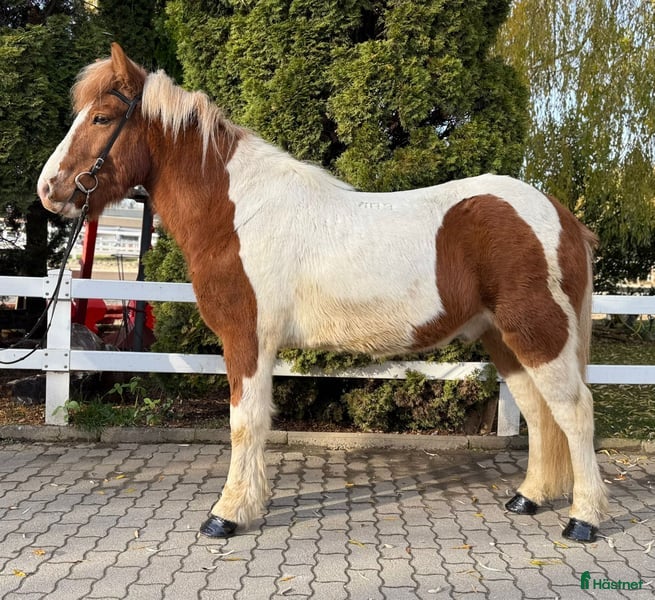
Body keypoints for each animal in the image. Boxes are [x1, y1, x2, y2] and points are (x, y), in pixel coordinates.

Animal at [37, 44, 608, 542]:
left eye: (101, 118)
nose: (49, 189)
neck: (239, 213)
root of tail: (561, 215)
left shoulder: (247, 339)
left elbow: (244, 422)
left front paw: (227, 514)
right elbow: (255, 422)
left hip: (537, 332)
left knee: (575, 411)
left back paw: (583, 520)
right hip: (503, 339)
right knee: (540, 412)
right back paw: (529, 497)